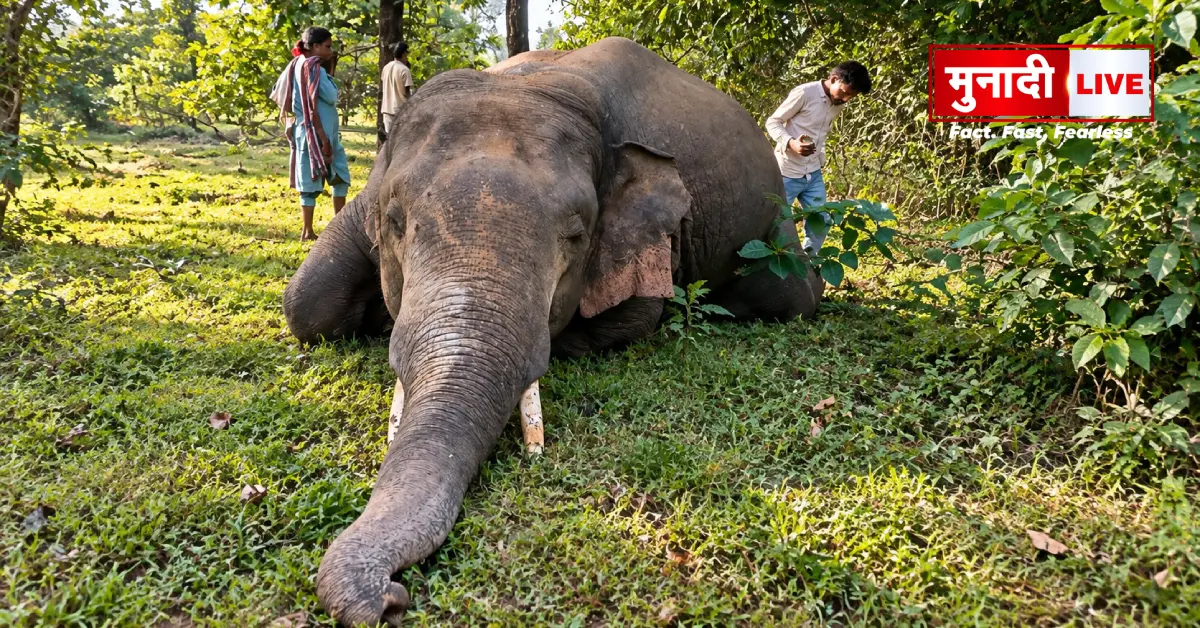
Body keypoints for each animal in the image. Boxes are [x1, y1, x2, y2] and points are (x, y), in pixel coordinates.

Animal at [282, 37, 824, 625]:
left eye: (576, 236)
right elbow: (304, 302)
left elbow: (637, 316)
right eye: (395, 221)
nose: (390, 597)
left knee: (791, 293)